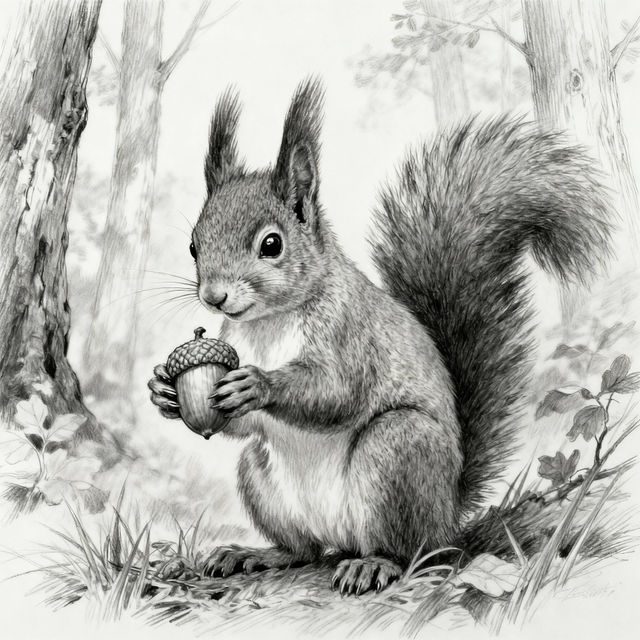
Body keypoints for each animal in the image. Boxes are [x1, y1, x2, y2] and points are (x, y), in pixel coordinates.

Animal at [148, 78, 610, 595]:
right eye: (193, 245)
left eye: (272, 244)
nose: (214, 296)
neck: (270, 323)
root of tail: (447, 513)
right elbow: (242, 426)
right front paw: (163, 391)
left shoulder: (351, 335)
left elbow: (337, 393)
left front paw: (258, 384)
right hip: (260, 475)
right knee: (304, 548)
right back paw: (256, 554)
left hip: (396, 452)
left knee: (410, 552)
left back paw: (375, 564)